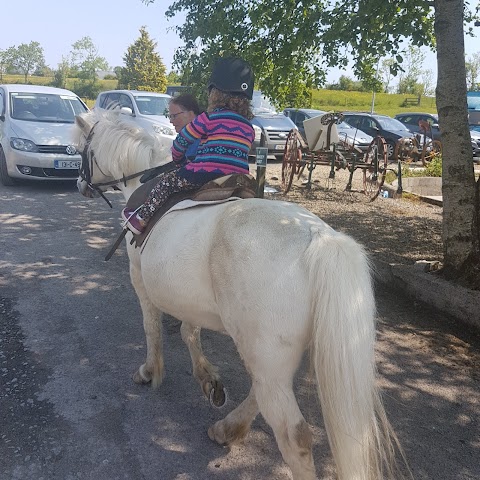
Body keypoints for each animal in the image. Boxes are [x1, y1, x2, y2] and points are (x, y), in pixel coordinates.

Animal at [74, 110, 404, 480]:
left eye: (82, 149)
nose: (80, 184)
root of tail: (320, 238)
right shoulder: (186, 296)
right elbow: (189, 330)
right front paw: (208, 379)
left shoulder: (139, 278)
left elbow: (152, 327)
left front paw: (150, 371)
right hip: (271, 356)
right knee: (261, 392)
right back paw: (227, 428)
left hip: (263, 354)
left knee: (293, 434)